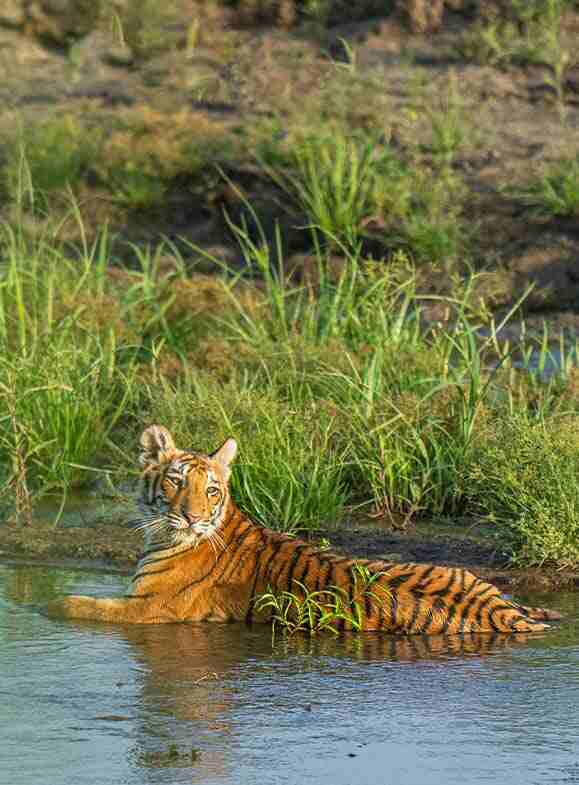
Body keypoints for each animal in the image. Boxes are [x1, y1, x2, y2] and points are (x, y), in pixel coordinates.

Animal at [47, 426, 564, 632]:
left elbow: (77, 604)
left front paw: (42, 605)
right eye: (175, 482)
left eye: (211, 491)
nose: (193, 517)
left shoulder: (148, 609)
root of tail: (503, 612)